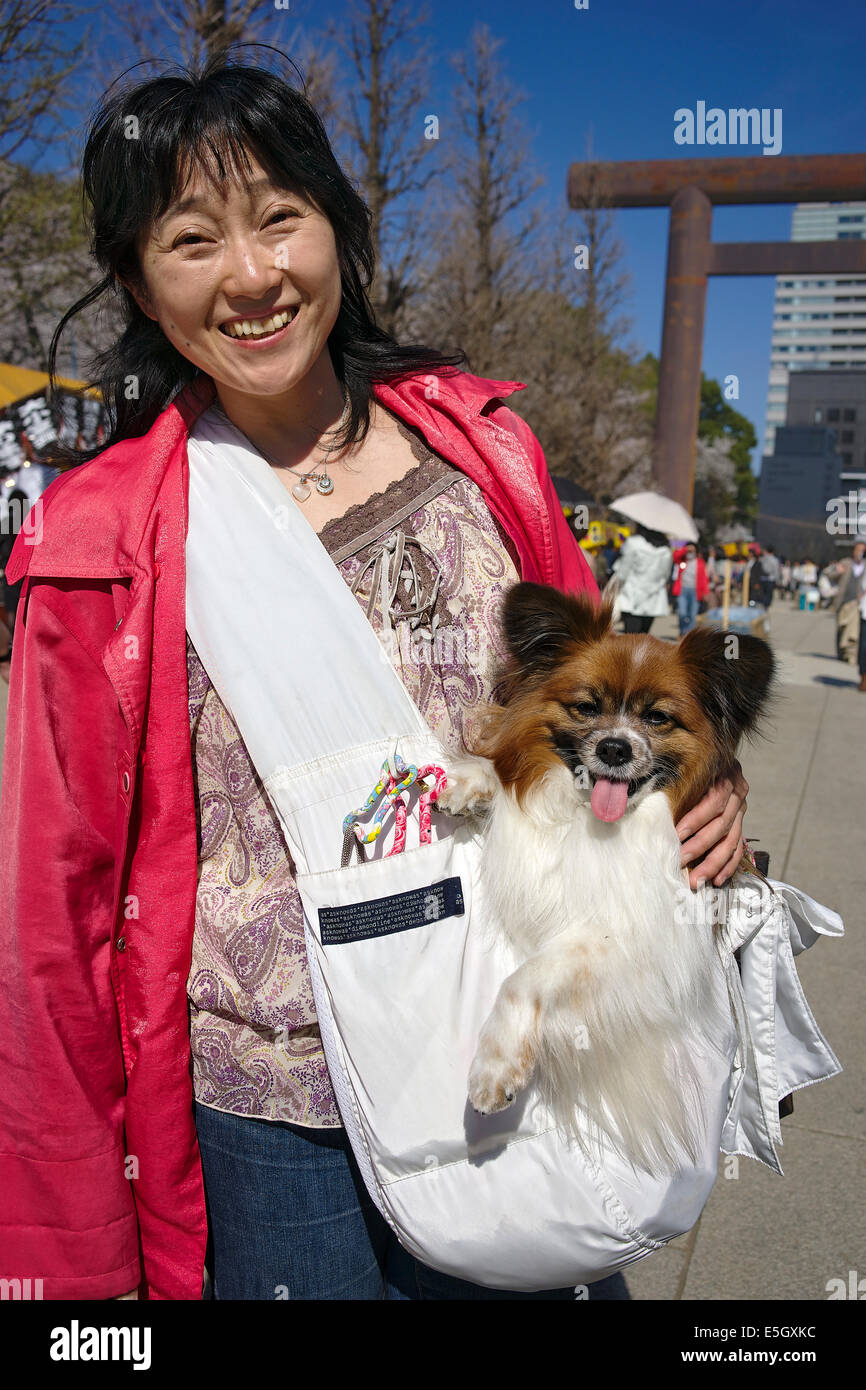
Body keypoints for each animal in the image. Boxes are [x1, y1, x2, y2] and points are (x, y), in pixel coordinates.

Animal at [439, 575, 778, 1173]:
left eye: (657, 718)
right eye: (586, 707)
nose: (614, 747)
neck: (591, 820)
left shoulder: (629, 934)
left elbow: (524, 978)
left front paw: (496, 1066)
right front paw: (471, 781)